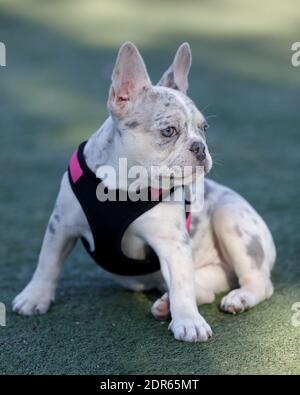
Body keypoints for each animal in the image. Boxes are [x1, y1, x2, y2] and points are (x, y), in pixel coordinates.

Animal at [13, 41, 276, 342]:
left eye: (204, 128)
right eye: (169, 131)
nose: (200, 147)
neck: (123, 185)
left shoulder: (173, 243)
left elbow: (181, 284)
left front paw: (188, 321)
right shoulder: (62, 225)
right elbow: (48, 262)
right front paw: (35, 297)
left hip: (230, 218)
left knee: (259, 283)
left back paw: (237, 298)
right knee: (204, 287)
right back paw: (165, 305)